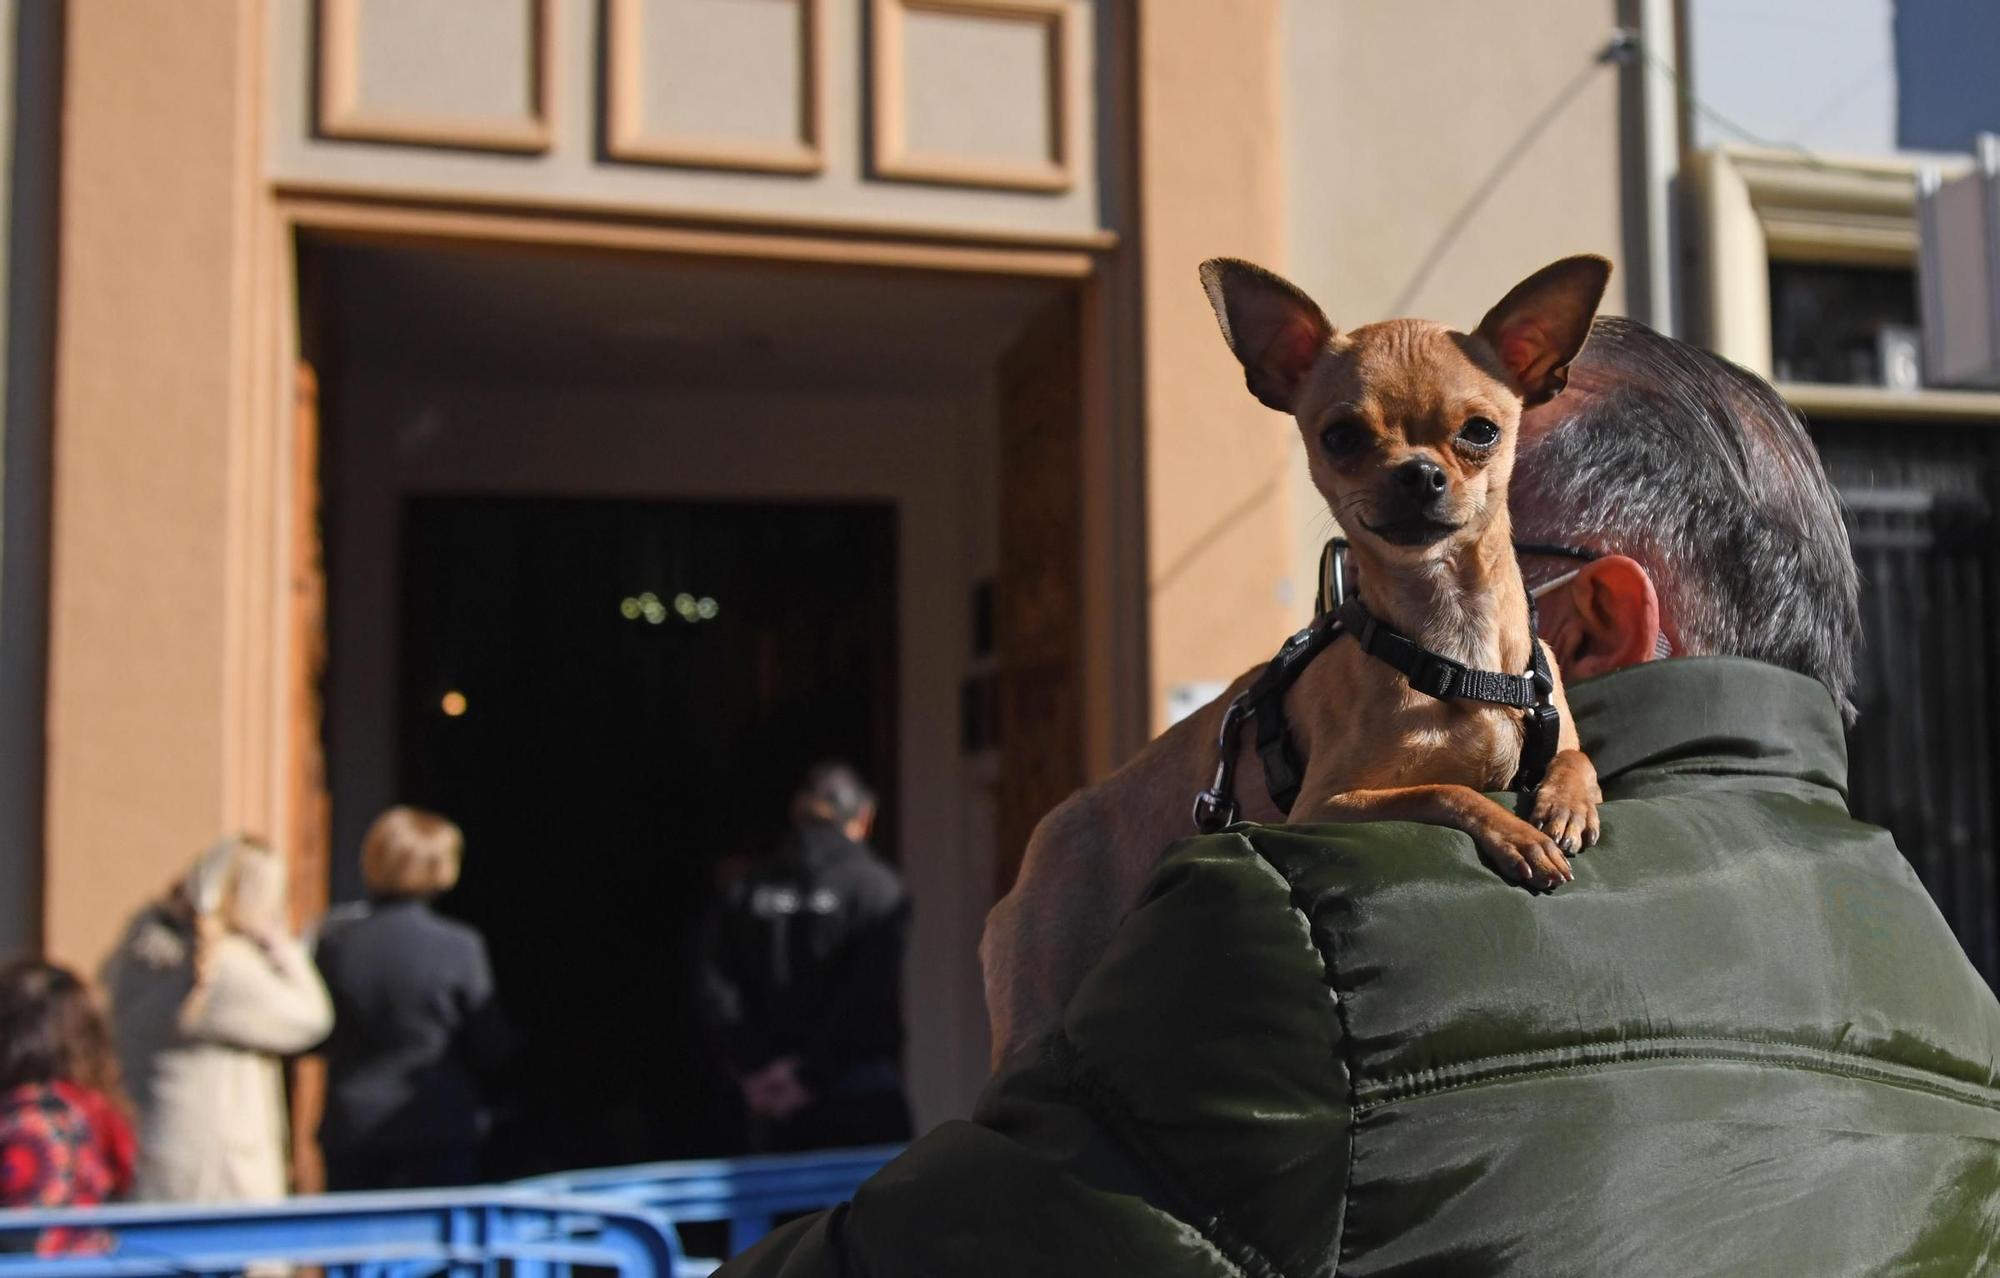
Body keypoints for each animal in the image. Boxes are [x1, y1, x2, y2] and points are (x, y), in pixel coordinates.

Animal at [980, 255, 1608, 1064]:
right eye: (1340, 437)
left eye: (1481, 432)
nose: (1417, 472)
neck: (1451, 645)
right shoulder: (1327, 807)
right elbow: (1445, 790)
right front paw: (1515, 832)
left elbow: (1576, 758)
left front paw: (1564, 804)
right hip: (1034, 1008)